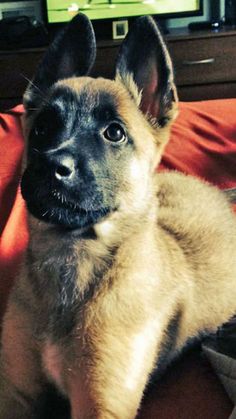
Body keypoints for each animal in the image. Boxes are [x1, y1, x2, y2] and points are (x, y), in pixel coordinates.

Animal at [0, 13, 236, 419]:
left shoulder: (101, 404)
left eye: (115, 133)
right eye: (42, 128)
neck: (72, 257)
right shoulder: (14, 393)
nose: (50, 167)